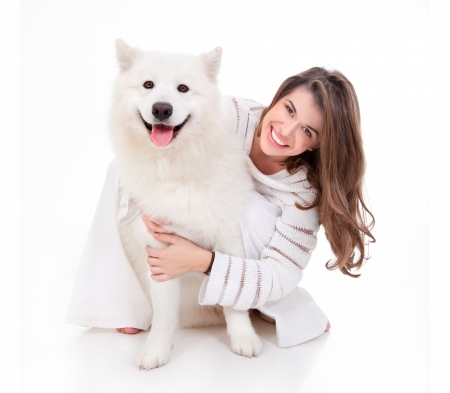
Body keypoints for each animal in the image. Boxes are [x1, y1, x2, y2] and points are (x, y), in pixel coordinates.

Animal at [109, 40, 262, 370]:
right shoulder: (159, 252)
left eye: (183, 88)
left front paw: (244, 338)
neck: (176, 171)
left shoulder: (229, 238)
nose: (161, 109)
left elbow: (234, 299)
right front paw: (156, 350)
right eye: (148, 85)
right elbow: (165, 311)